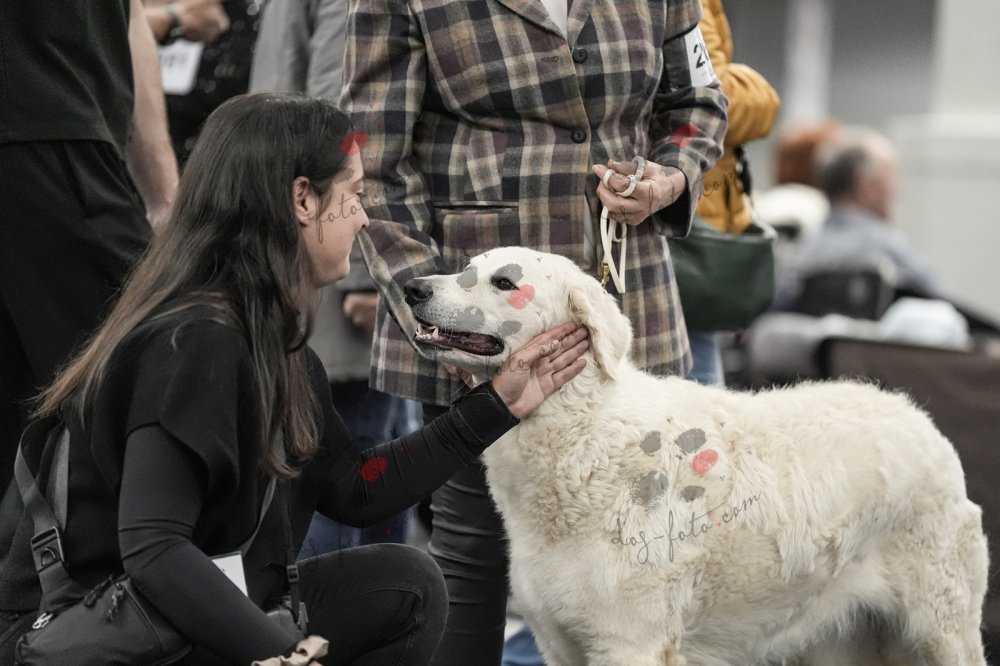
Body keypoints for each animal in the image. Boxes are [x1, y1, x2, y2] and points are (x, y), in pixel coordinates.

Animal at [403, 247, 988, 665]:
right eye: (465, 269)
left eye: (504, 282)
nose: (411, 288)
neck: (580, 430)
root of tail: (919, 418)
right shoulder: (560, 643)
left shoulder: (631, 643)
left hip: (942, 632)